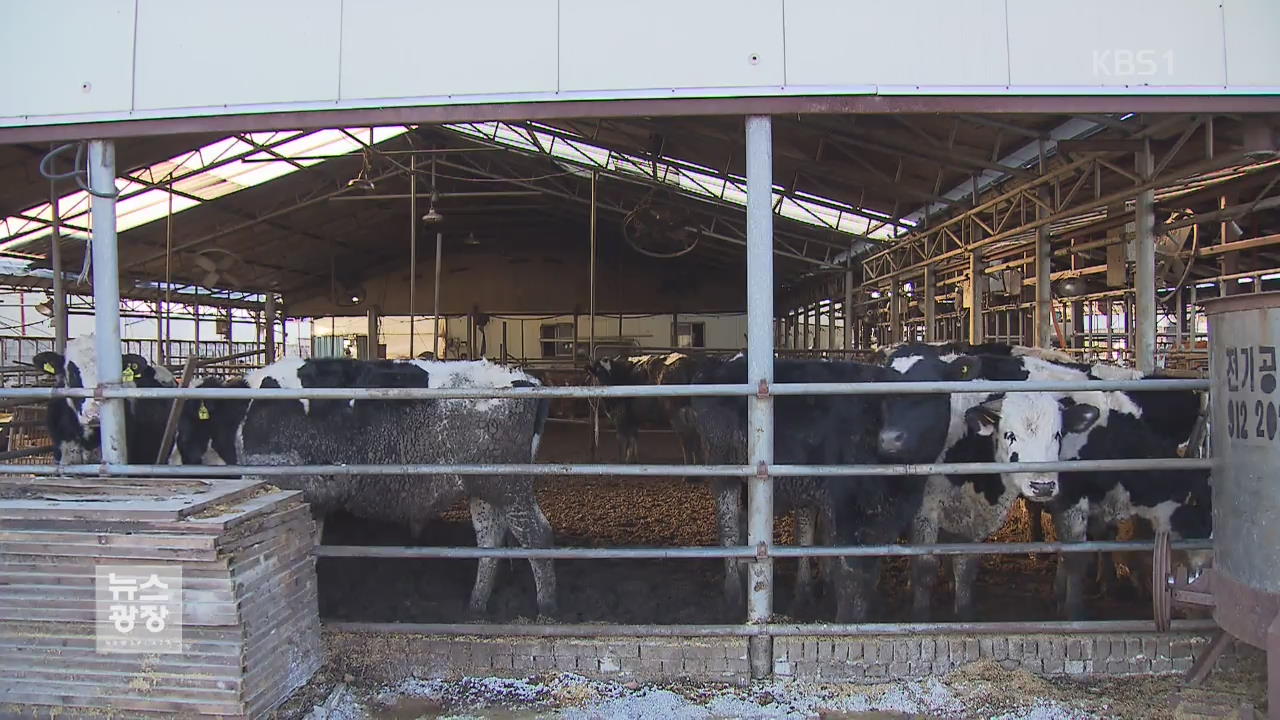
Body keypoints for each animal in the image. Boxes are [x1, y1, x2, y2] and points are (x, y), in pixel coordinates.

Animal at [180, 356, 555, 614]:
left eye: (185, 426)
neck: (245, 411)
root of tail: (523, 378)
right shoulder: (315, 495)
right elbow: (309, 549)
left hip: (509, 487)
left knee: (537, 534)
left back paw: (546, 609)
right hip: (485, 488)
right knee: (490, 538)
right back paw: (475, 606)